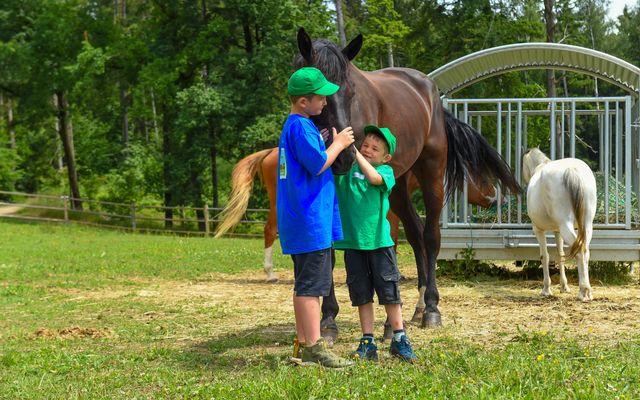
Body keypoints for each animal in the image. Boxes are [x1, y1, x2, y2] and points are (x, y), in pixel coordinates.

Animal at [296, 28, 520, 328]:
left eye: (351, 91)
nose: (344, 156)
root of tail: (430, 93)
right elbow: (327, 247)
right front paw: (328, 317)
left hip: (431, 173)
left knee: (430, 236)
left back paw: (432, 308)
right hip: (397, 185)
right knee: (414, 234)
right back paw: (419, 307)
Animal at [524, 148, 596, 302]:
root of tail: (572, 170)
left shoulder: (539, 230)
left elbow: (544, 256)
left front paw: (546, 289)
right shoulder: (557, 231)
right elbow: (560, 254)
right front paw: (564, 287)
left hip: (565, 225)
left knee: (580, 251)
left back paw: (584, 292)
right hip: (586, 225)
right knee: (585, 251)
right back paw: (587, 291)